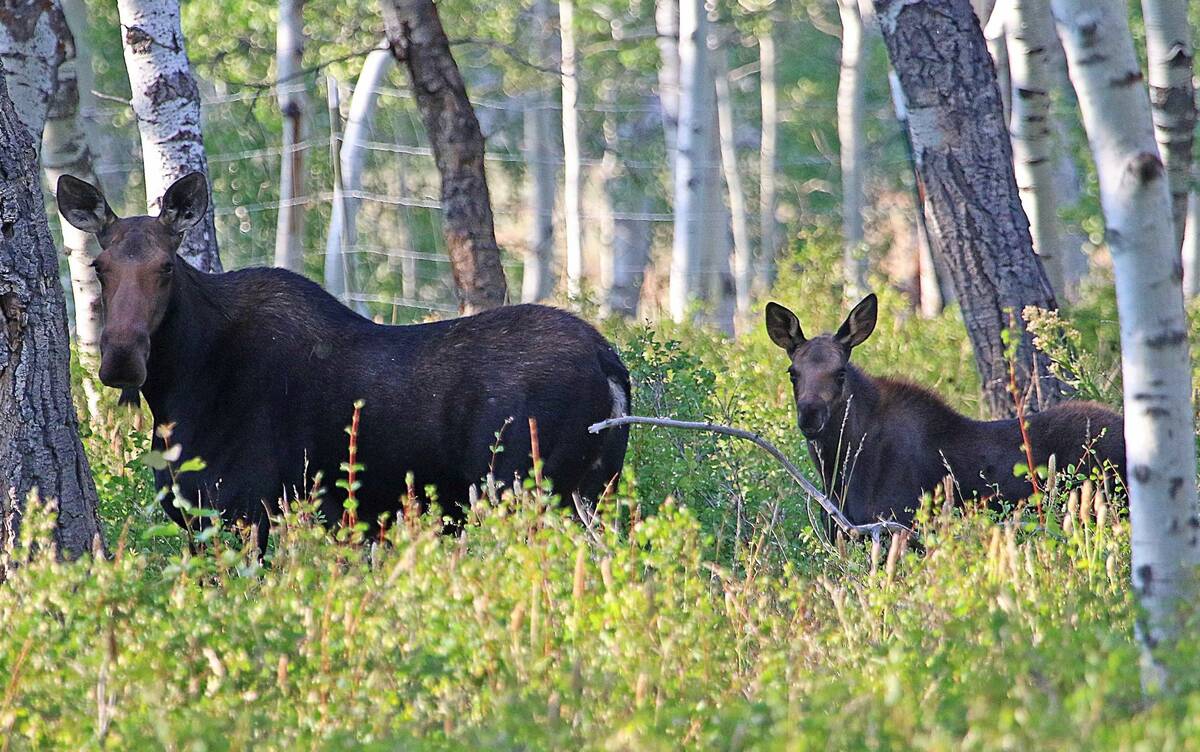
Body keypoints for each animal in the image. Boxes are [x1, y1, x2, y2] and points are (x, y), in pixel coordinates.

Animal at [59, 173, 633, 549]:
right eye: (99, 265)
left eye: (165, 267)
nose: (121, 358)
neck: (179, 396)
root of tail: (609, 362)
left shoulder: (245, 512)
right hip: (592, 493)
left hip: (521, 491)